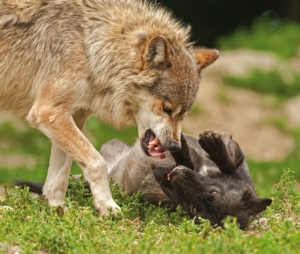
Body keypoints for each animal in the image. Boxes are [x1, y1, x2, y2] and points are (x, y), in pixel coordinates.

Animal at [1, 0, 219, 214]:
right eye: (166, 108)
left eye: (183, 115)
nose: (175, 146)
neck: (92, 48)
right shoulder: (48, 112)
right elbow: (97, 162)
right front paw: (107, 206)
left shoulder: (73, 116)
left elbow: (60, 174)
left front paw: (57, 210)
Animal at [17, 130, 274, 229]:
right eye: (213, 193)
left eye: (195, 210)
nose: (175, 174)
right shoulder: (235, 158)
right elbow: (226, 159)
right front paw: (212, 145)